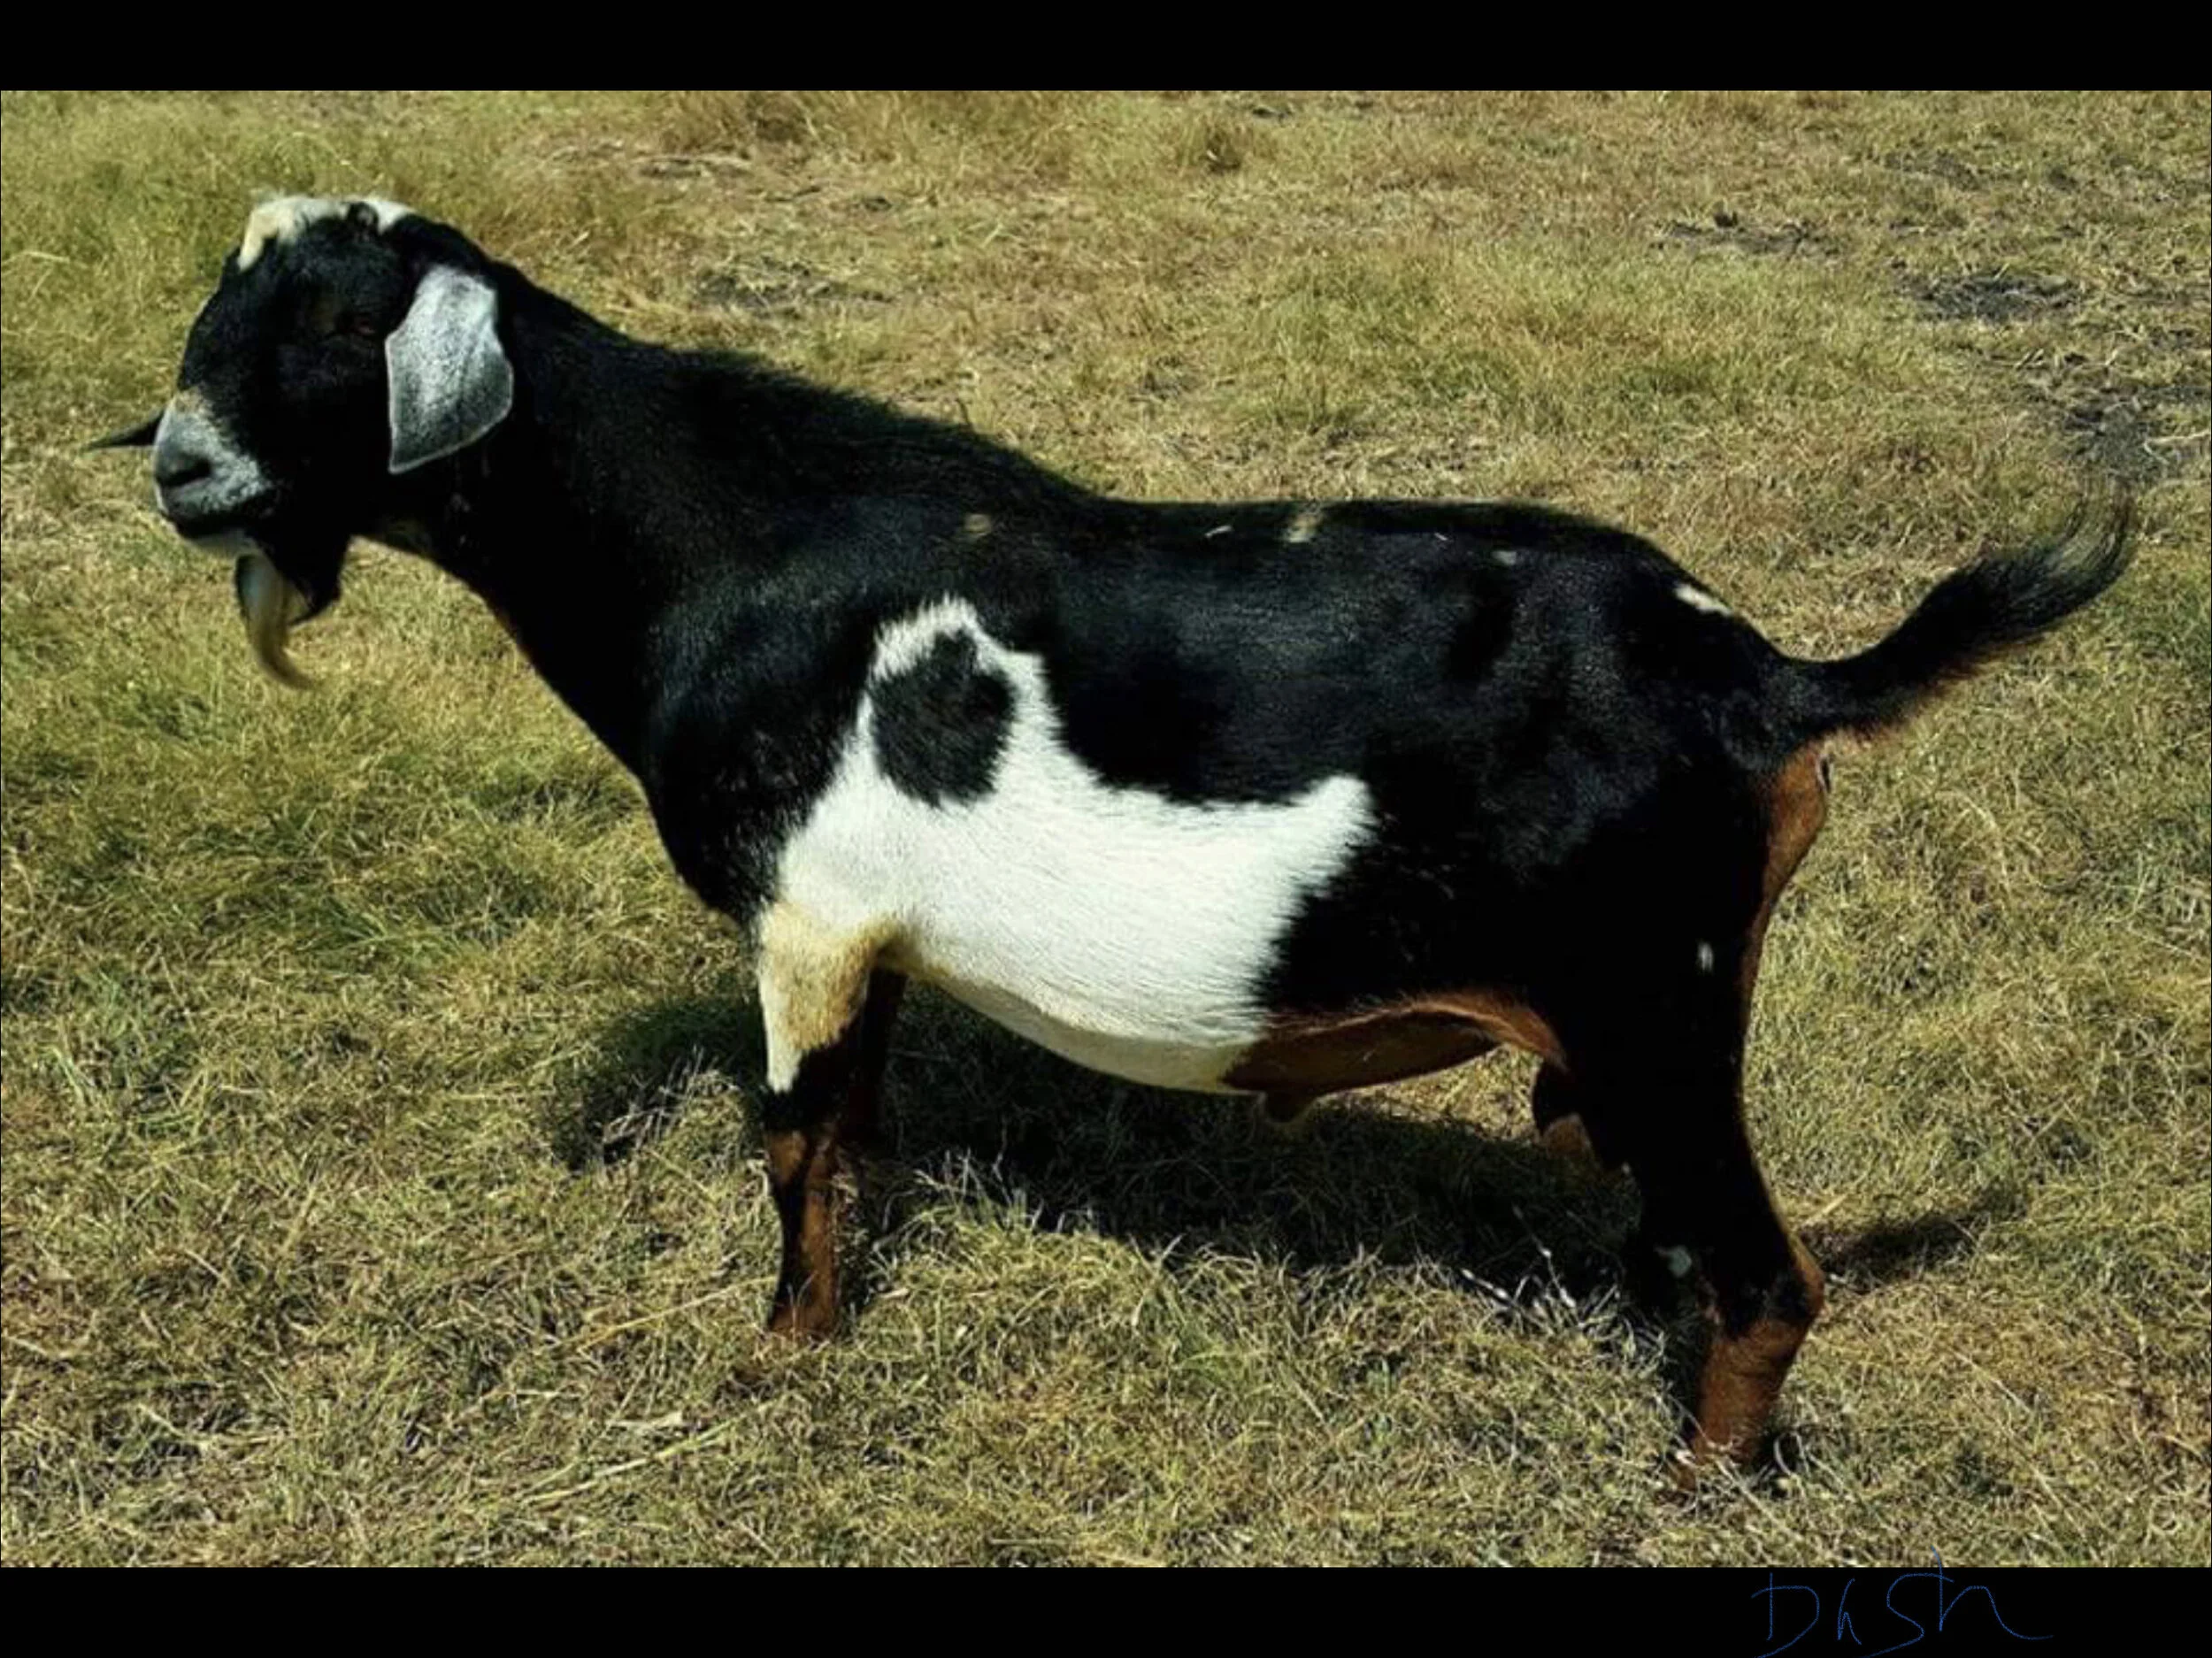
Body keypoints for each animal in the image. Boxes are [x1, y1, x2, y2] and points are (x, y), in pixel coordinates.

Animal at [101, 197, 2133, 1480]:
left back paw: (1694, 1491)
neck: (721, 539)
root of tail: (1774, 677)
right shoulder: (869, 937)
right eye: (214, 309)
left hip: (1656, 996)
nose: (179, 469)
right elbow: (856, 1121)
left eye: (339, 328)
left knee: (1769, 1271)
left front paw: (780, 1356)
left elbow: (790, 1139)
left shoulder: (802, 916)